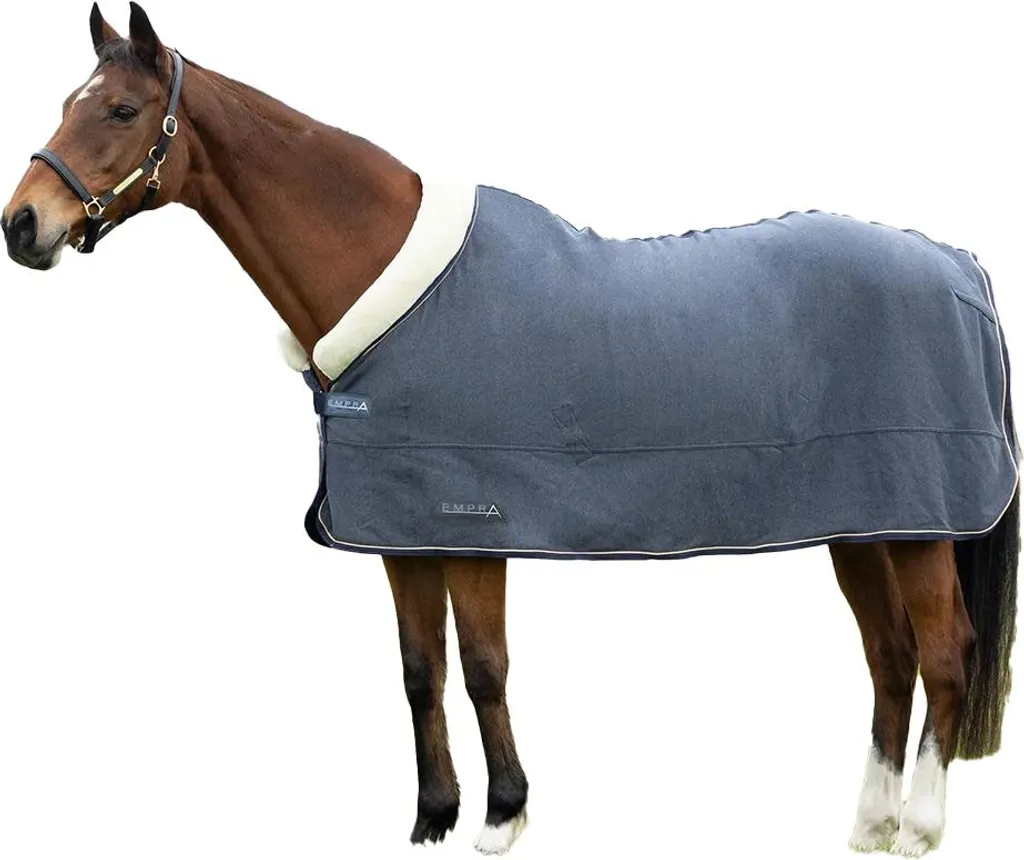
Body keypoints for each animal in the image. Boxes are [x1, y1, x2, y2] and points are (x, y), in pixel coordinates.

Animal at [2, 4, 1018, 857]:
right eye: (66, 103)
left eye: (122, 110)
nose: (23, 225)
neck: (388, 280)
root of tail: (958, 264)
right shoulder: (403, 530)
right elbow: (420, 670)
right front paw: (433, 817)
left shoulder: (473, 520)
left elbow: (485, 665)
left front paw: (503, 815)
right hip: (865, 523)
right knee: (889, 658)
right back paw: (870, 825)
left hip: (920, 526)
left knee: (942, 654)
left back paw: (919, 828)